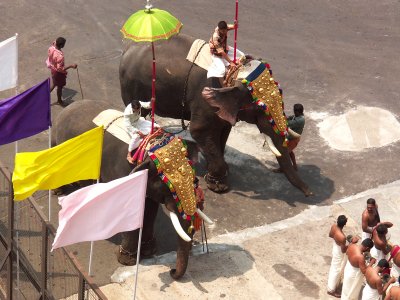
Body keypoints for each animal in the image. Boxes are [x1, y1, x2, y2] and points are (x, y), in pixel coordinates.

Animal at [55, 99, 214, 278]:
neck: (152, 147)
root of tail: (71, 106)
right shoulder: (123, 173)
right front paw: (127, 261)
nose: (172, 271)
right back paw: (60, 192)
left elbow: (150, 209)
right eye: (170, 188)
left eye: (195, 180)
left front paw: (149, 252)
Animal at [119, 33, 312, 197]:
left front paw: (218, 172)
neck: (234, 71)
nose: (310, 193)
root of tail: (128, 48)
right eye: (261, 107)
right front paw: (218, 185)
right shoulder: (203, 100)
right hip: (132, 87)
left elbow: (223, 132)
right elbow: (199, 131)